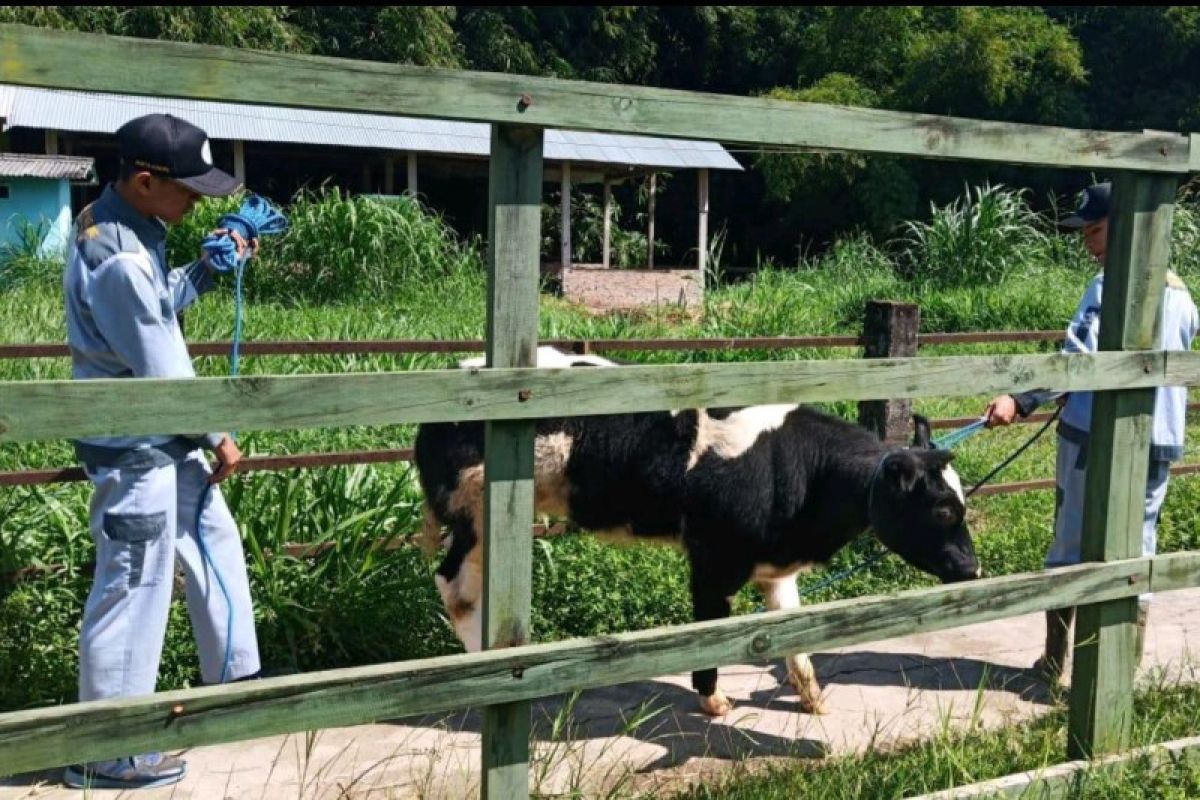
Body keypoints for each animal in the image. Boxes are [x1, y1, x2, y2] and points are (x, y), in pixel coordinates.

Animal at [412, 347, 974, 714]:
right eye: (943, 510)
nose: (972, 567)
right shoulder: (712, 558)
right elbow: (709, 630)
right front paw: (714, 699)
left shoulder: (774, 565)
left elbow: (792, 629)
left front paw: (813, 698)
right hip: (474, 513)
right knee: (453, 585)